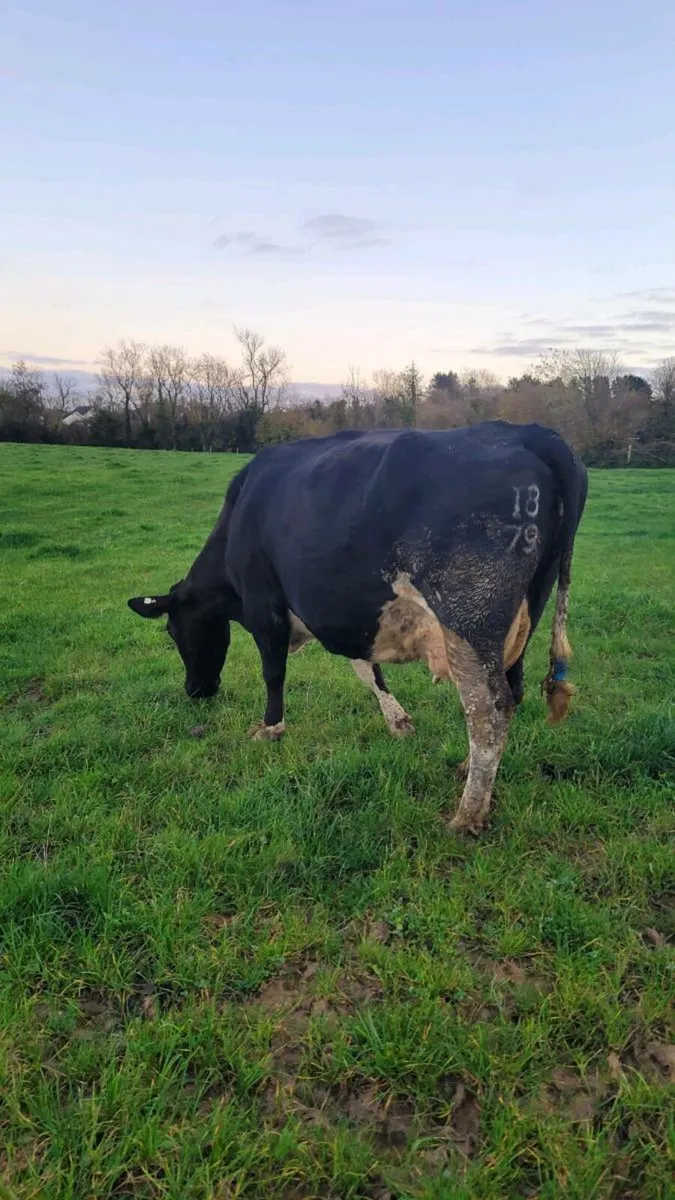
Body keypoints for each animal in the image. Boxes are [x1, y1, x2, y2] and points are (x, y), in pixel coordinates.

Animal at [129, 421, 587, 833]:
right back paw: (465, 768)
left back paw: (468, 814)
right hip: (523, 617)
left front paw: (270, 728)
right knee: (513, 692)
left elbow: (273, 672)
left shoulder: (264, 603)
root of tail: (534, 434)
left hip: (469, 619)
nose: (195, 690)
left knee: (489, 709)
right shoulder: (347, 617)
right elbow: (368, 671)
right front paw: (399, 723)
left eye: (174, 633)